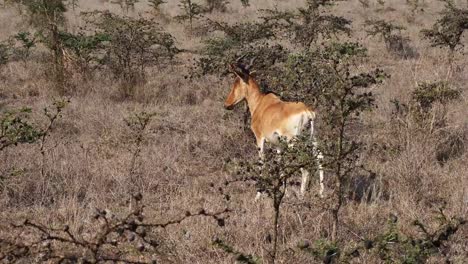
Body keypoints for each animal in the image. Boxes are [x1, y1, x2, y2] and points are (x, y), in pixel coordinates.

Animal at [225, 58, 324, 198]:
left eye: (236, 83)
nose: (227, 104)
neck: (261, 103)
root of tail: (307, 112)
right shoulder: (278, 145)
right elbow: (280, 165)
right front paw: (284, 193)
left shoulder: (260, 139)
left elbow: (262, 163)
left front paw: (257, 196)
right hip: (312, 139)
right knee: (320, 158)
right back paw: (321, 193)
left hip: (294, 143)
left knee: (304, 167)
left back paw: (301, 196)